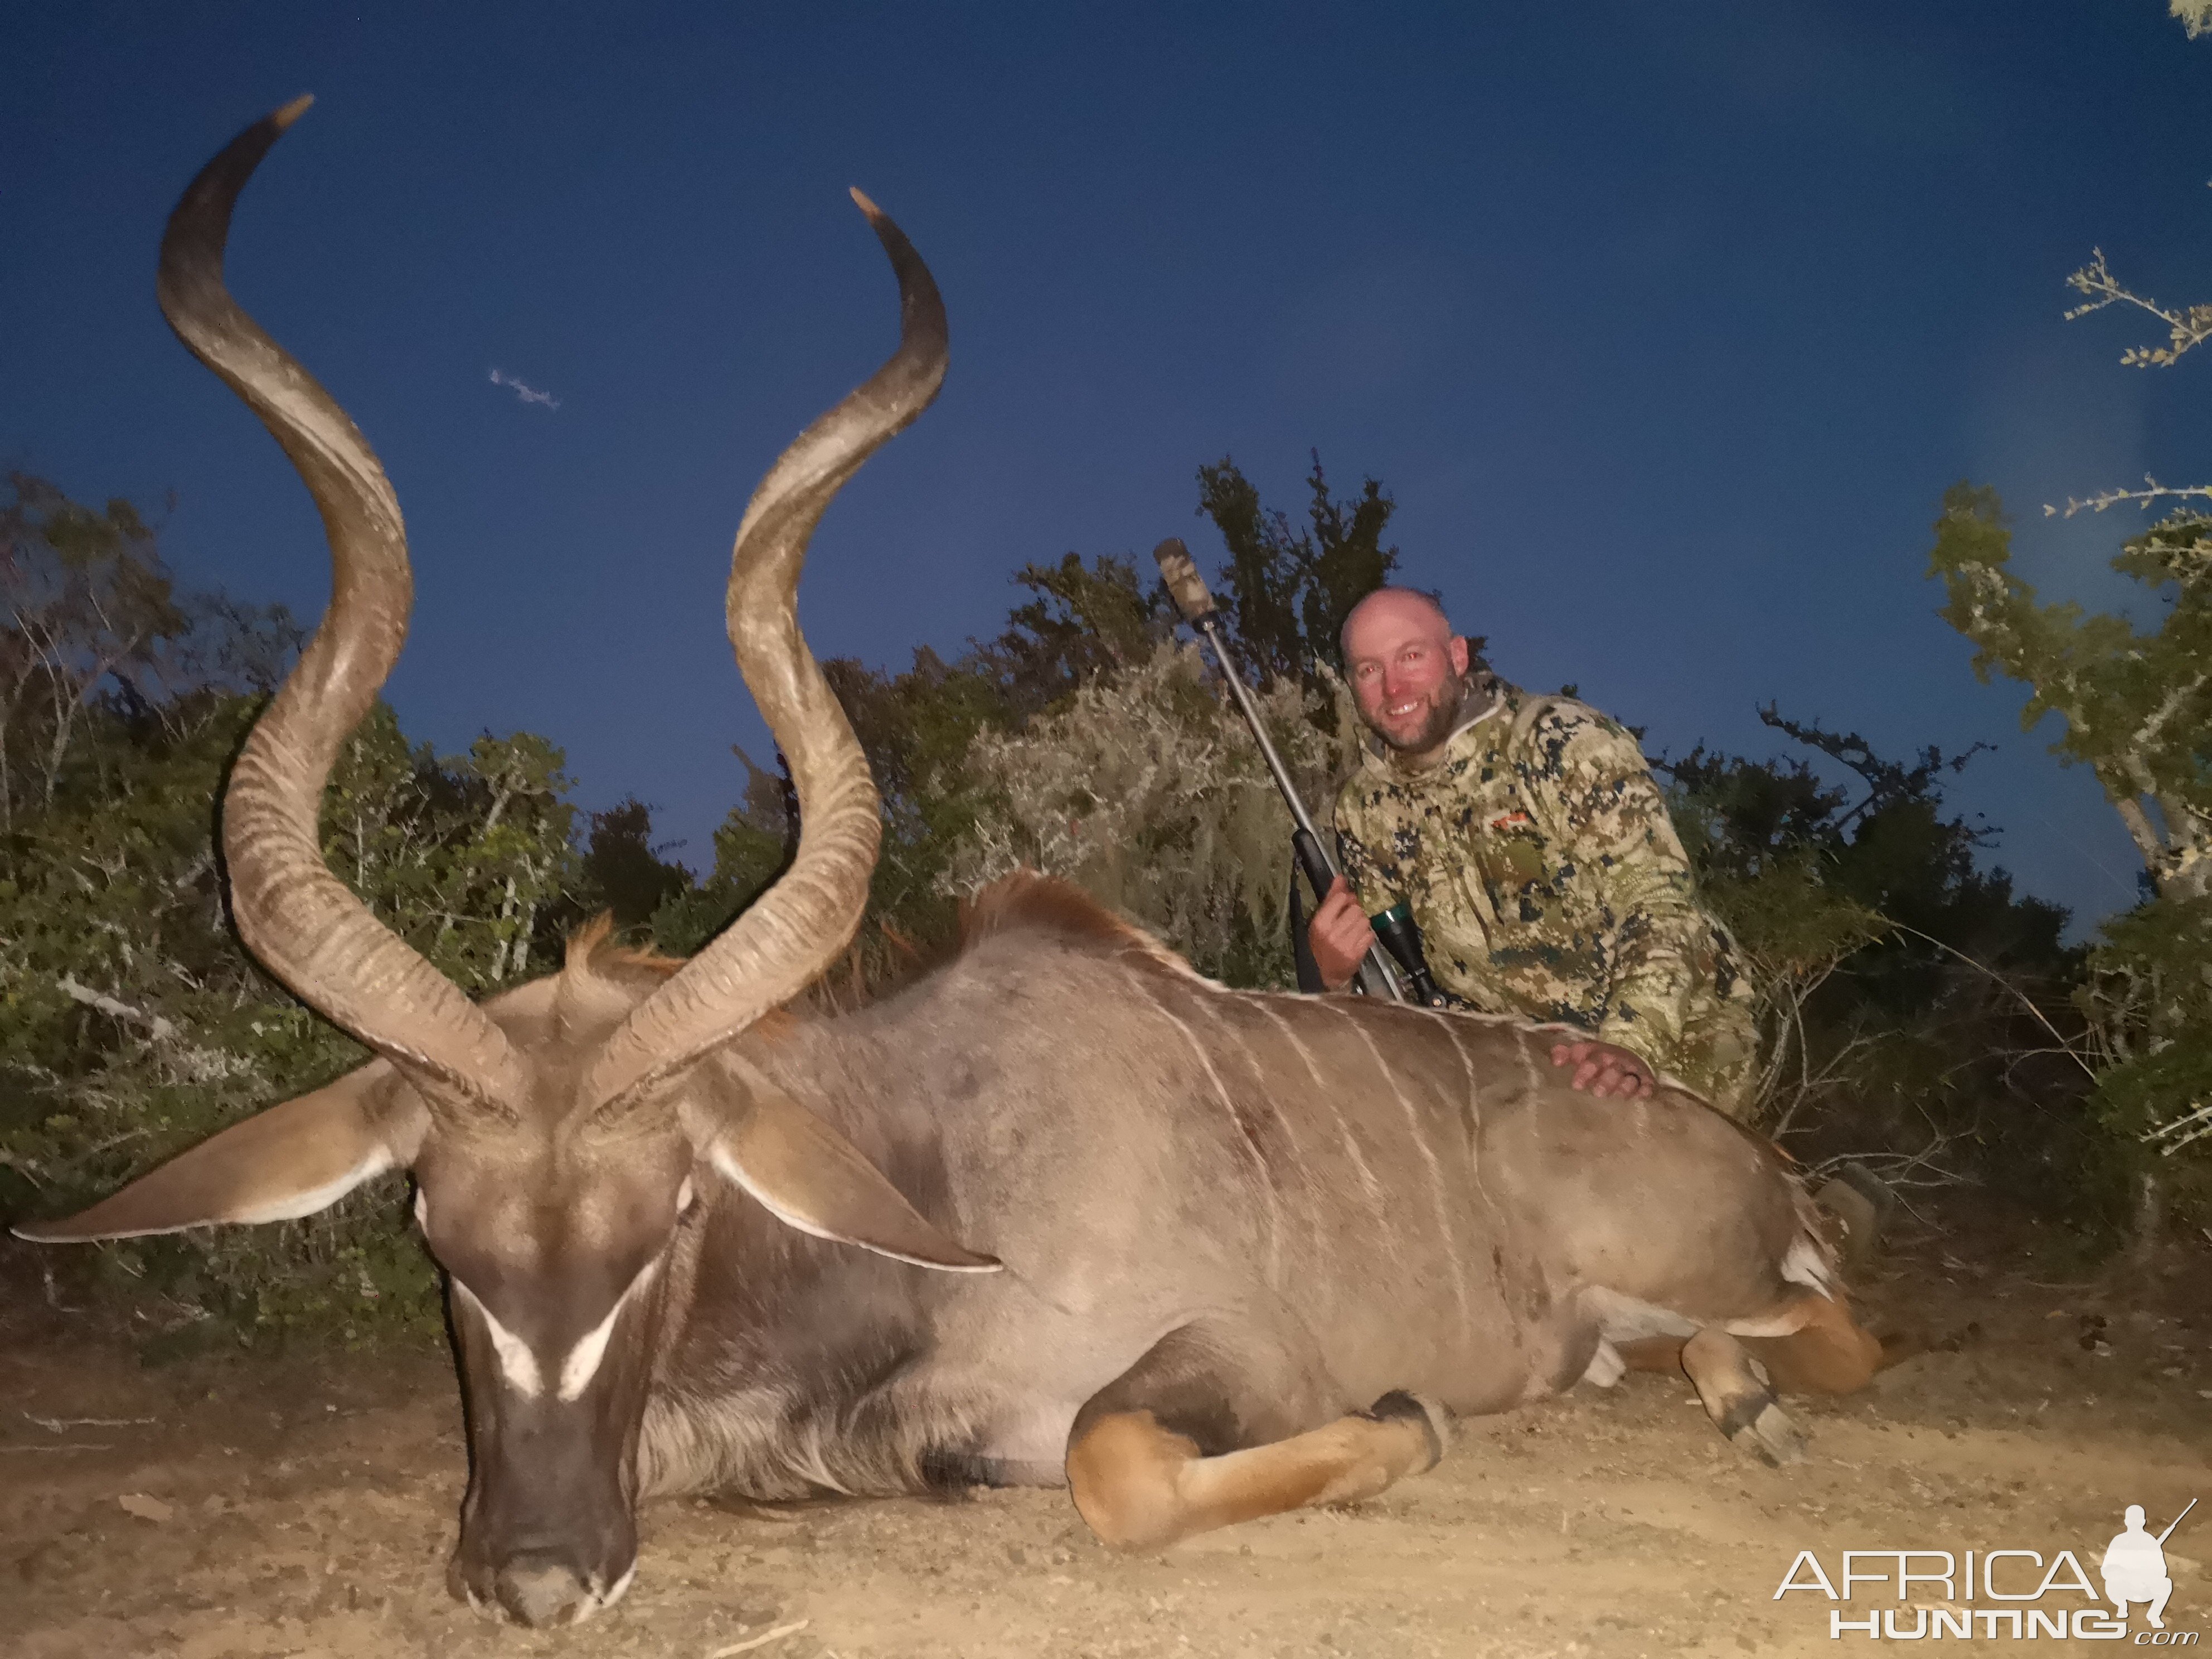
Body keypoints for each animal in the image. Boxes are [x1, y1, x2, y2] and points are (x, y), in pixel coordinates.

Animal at [17, 107, 1884, 1637]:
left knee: (1835, 1326)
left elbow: (1116, 1460)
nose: (537, 1574)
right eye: (431, 1228)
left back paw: (1742, 1392)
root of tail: (1750, 1152)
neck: (926, 1177)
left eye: (670, 1215)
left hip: (1693, 1268)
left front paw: (1410, 1421)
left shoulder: (1237, 1347)